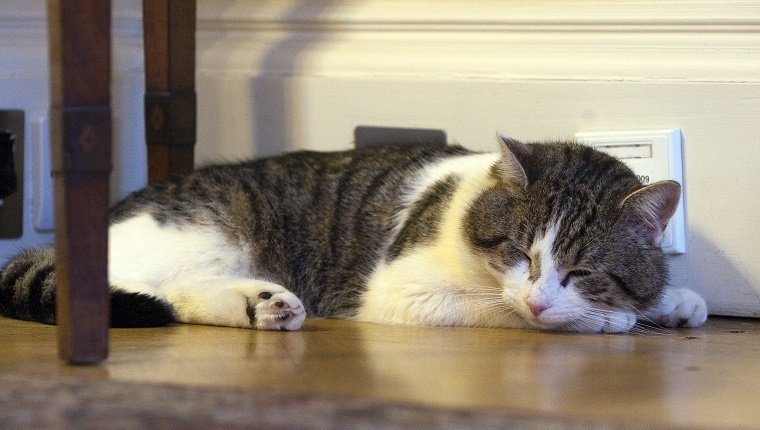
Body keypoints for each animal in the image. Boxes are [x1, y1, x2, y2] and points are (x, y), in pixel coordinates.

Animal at [0, 138, 708, 332]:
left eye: (583, 270)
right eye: (517, 253)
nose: (539, 299)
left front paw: (672, 302)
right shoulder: (403, 293)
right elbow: (499, 308)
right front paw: (613, 320)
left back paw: (263, 304)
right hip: (210, 229)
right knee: (126, 288)